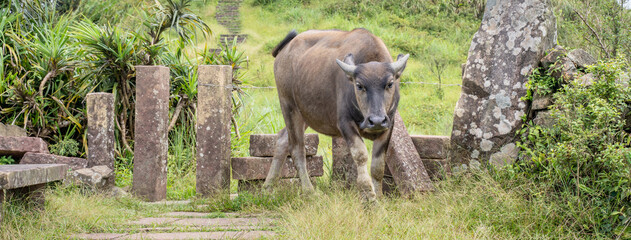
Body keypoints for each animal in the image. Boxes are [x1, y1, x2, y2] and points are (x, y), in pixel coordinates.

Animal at [262, 28, 408, 202]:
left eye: (390, 84)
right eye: (359, 85)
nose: (376, 121)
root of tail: (285, 49)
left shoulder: (388, 125)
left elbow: (378, 165)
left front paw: (378, 196)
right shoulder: (345, 124)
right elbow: (361, 155)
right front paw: (369, 197)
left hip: (306, 114)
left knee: (282, 139)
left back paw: (268, 188)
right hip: (289, 106)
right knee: (296, 149)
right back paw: (309, 191)